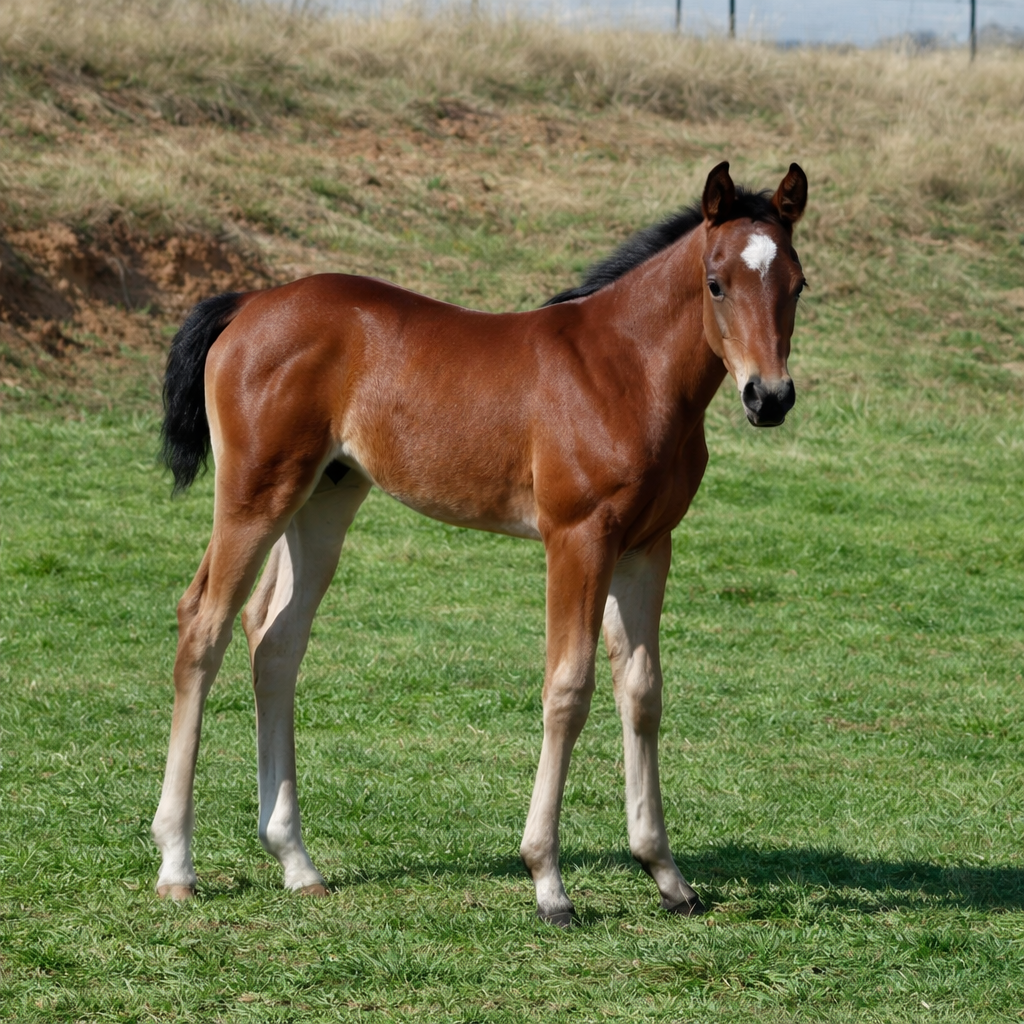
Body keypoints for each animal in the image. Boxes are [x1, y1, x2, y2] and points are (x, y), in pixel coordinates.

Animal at [152, 160, 808, 926]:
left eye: (797, 284)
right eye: (715, 281)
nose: (769, 398)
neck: (628, 370)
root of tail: (252, 302)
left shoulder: (648, 545)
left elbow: (643, 691)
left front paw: (666, 875)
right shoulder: (578, 539)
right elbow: (569, 687)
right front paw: (549, 883)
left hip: (323, 498)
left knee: (275, 640)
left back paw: (297, 862)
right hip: (255, 493)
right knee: (204, 624)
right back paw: (177, 863)